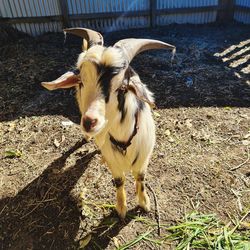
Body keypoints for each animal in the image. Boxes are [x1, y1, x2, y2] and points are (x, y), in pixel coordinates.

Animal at [42, 27, 175, 219]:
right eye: (81, 81)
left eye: (122, 88)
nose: (89, 122)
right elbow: (119, 181)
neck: (123, 141)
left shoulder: (144, 156)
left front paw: (144, 203)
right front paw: (121, 208)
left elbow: (140, 177)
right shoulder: (113, 161)